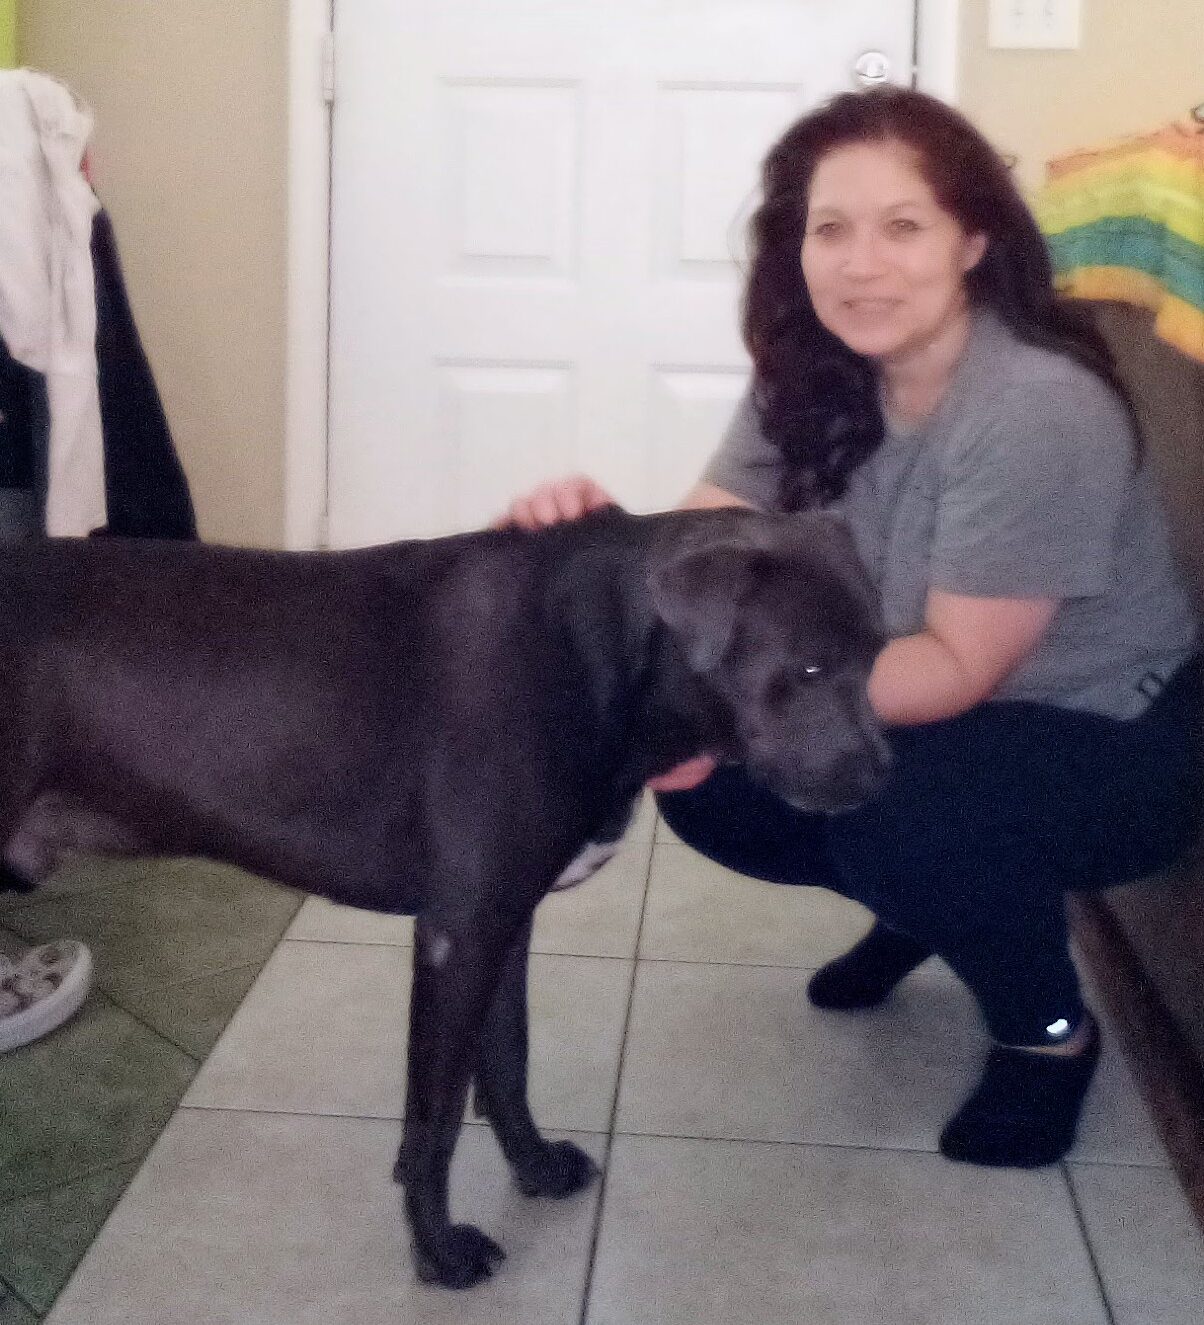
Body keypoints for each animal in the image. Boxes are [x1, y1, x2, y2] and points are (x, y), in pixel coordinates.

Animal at [0, 503, 884, 1282]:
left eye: (878, 655)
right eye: (808, 665)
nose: (881, 776)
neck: (601, 654)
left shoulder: (506, 921)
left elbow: (507, 1061)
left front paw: (534, 1166)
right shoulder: (460, 934)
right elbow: (437, 1115)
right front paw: (440, 1252)